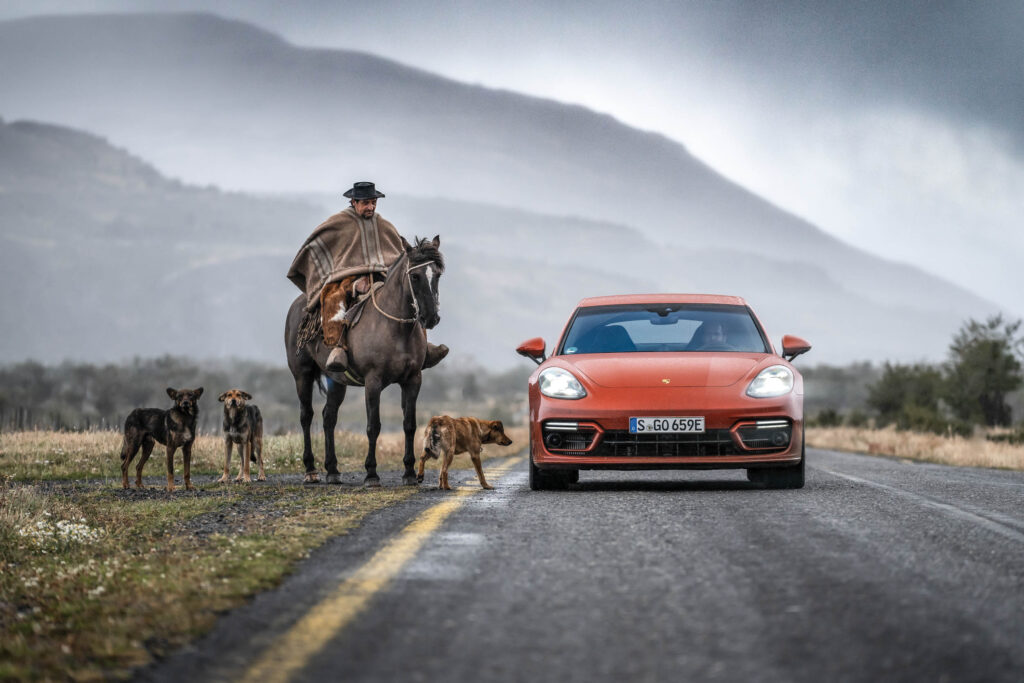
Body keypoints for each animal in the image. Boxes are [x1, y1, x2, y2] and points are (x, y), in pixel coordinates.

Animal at [284, 235, 444, 485]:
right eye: (415, 276)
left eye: (436, 274)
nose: (431, 317)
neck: (396, 328)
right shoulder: (373, 381)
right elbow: (373, 426)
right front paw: (371, 473)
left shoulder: (412, 380)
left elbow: (409, 425)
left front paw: (409, 472)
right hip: (302, 375)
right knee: (306, 416)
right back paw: (311, 469)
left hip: (336, 380)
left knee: (328, 417)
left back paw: (333, 470)